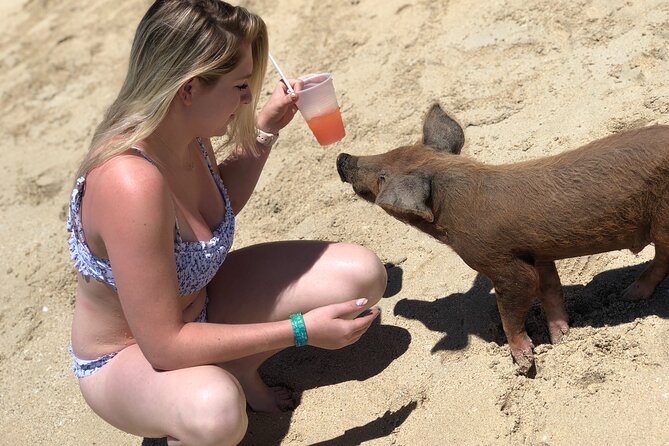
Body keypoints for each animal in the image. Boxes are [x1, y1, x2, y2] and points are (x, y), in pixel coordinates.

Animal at [336, 103, 669, 374]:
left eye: (382, 178)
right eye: (392, 151)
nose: (342, 157)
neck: (451, 215)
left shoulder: (501, 262)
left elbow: (512, 305)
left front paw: (523, 365)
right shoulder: (536, 252)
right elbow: (550, 289)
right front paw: (561, 338)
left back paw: (631, 294)